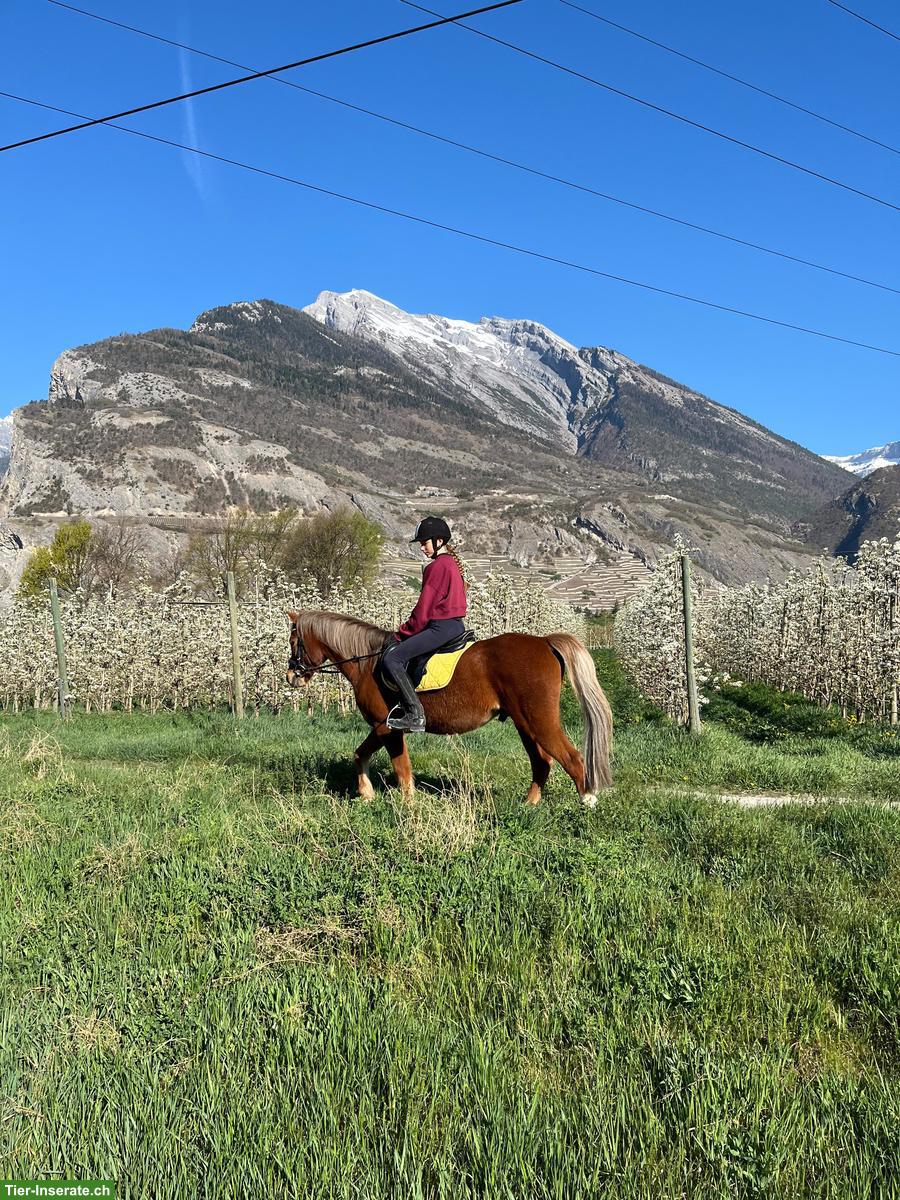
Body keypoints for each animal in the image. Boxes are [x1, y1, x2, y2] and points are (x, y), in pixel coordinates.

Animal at [286, 611, 613, 807]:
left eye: (294, 641)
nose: (291, 676)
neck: (368, 661)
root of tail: (544, 642)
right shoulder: (383, 728)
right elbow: (363, 755)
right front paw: (369, 794)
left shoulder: (386, 726)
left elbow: (398, 767)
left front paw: (404, 803)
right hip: (525, 724)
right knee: (542, 762)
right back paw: (529, 804)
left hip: (539, 720)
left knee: (570, 758)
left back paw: (587, 802)